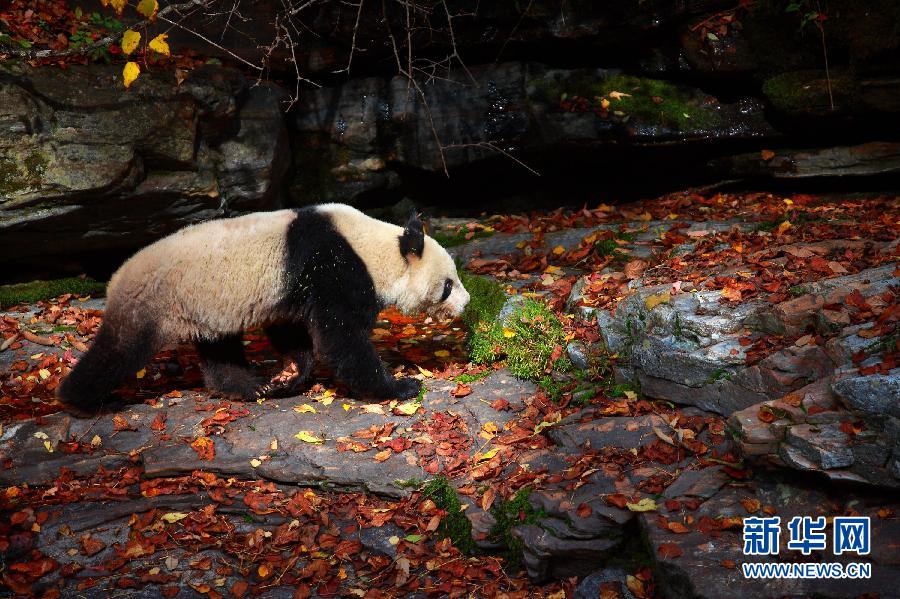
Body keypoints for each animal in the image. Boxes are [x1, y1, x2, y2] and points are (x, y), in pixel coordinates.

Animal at [58, 204, 472, 414]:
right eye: (447, 285)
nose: (466, 303)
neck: (374, 247)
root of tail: (115, 279)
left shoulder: (293, 286)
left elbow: (293, 331)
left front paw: (289, 377)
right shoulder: (333, 267)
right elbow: (341, 339)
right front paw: (399, 386)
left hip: (207, 307)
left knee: (220, 348)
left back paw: (246, 386)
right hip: (155, 301)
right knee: (120, 349)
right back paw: (79, 400)